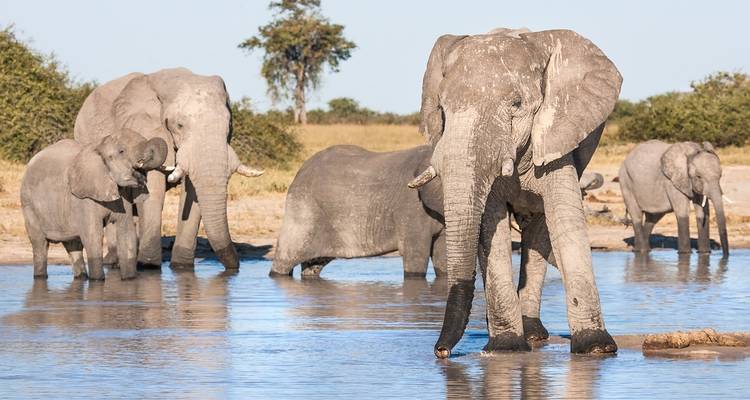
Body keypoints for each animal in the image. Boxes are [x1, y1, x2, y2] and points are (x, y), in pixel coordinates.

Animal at [20, 129, 167, 280]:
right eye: (121, 151)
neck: (99, 146)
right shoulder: (83, 198)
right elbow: (93, 235)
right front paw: (97, 281)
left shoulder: (123, 195)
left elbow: (126, 233)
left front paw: (129, 279)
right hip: (28, 204)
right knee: (40, 244)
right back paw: (40, 276)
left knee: (73, 245)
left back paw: (81, 277)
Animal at [73, 67, 263, 272]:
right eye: (179, 125)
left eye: (228, 125)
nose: (235, 268)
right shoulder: (145, 128)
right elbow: (153, 188)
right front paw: (149, 266)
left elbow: (193, 193)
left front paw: (181, 267)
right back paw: (114, 262)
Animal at [270, 145, 446, 278]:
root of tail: (300, 171)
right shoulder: (411, 208)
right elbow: (416, 255)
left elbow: (441, 256)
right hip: (302, 211)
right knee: (285, 260)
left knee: (313, 265)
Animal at [409, 29, 623, 357]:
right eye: (442, 109)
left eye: (516, 104)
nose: (441, 351)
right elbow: (490, 228)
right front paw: (506, 348)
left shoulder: (555, 134)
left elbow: (565, 221)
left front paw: (596, 348)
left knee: (539, 230)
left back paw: (534, 333)